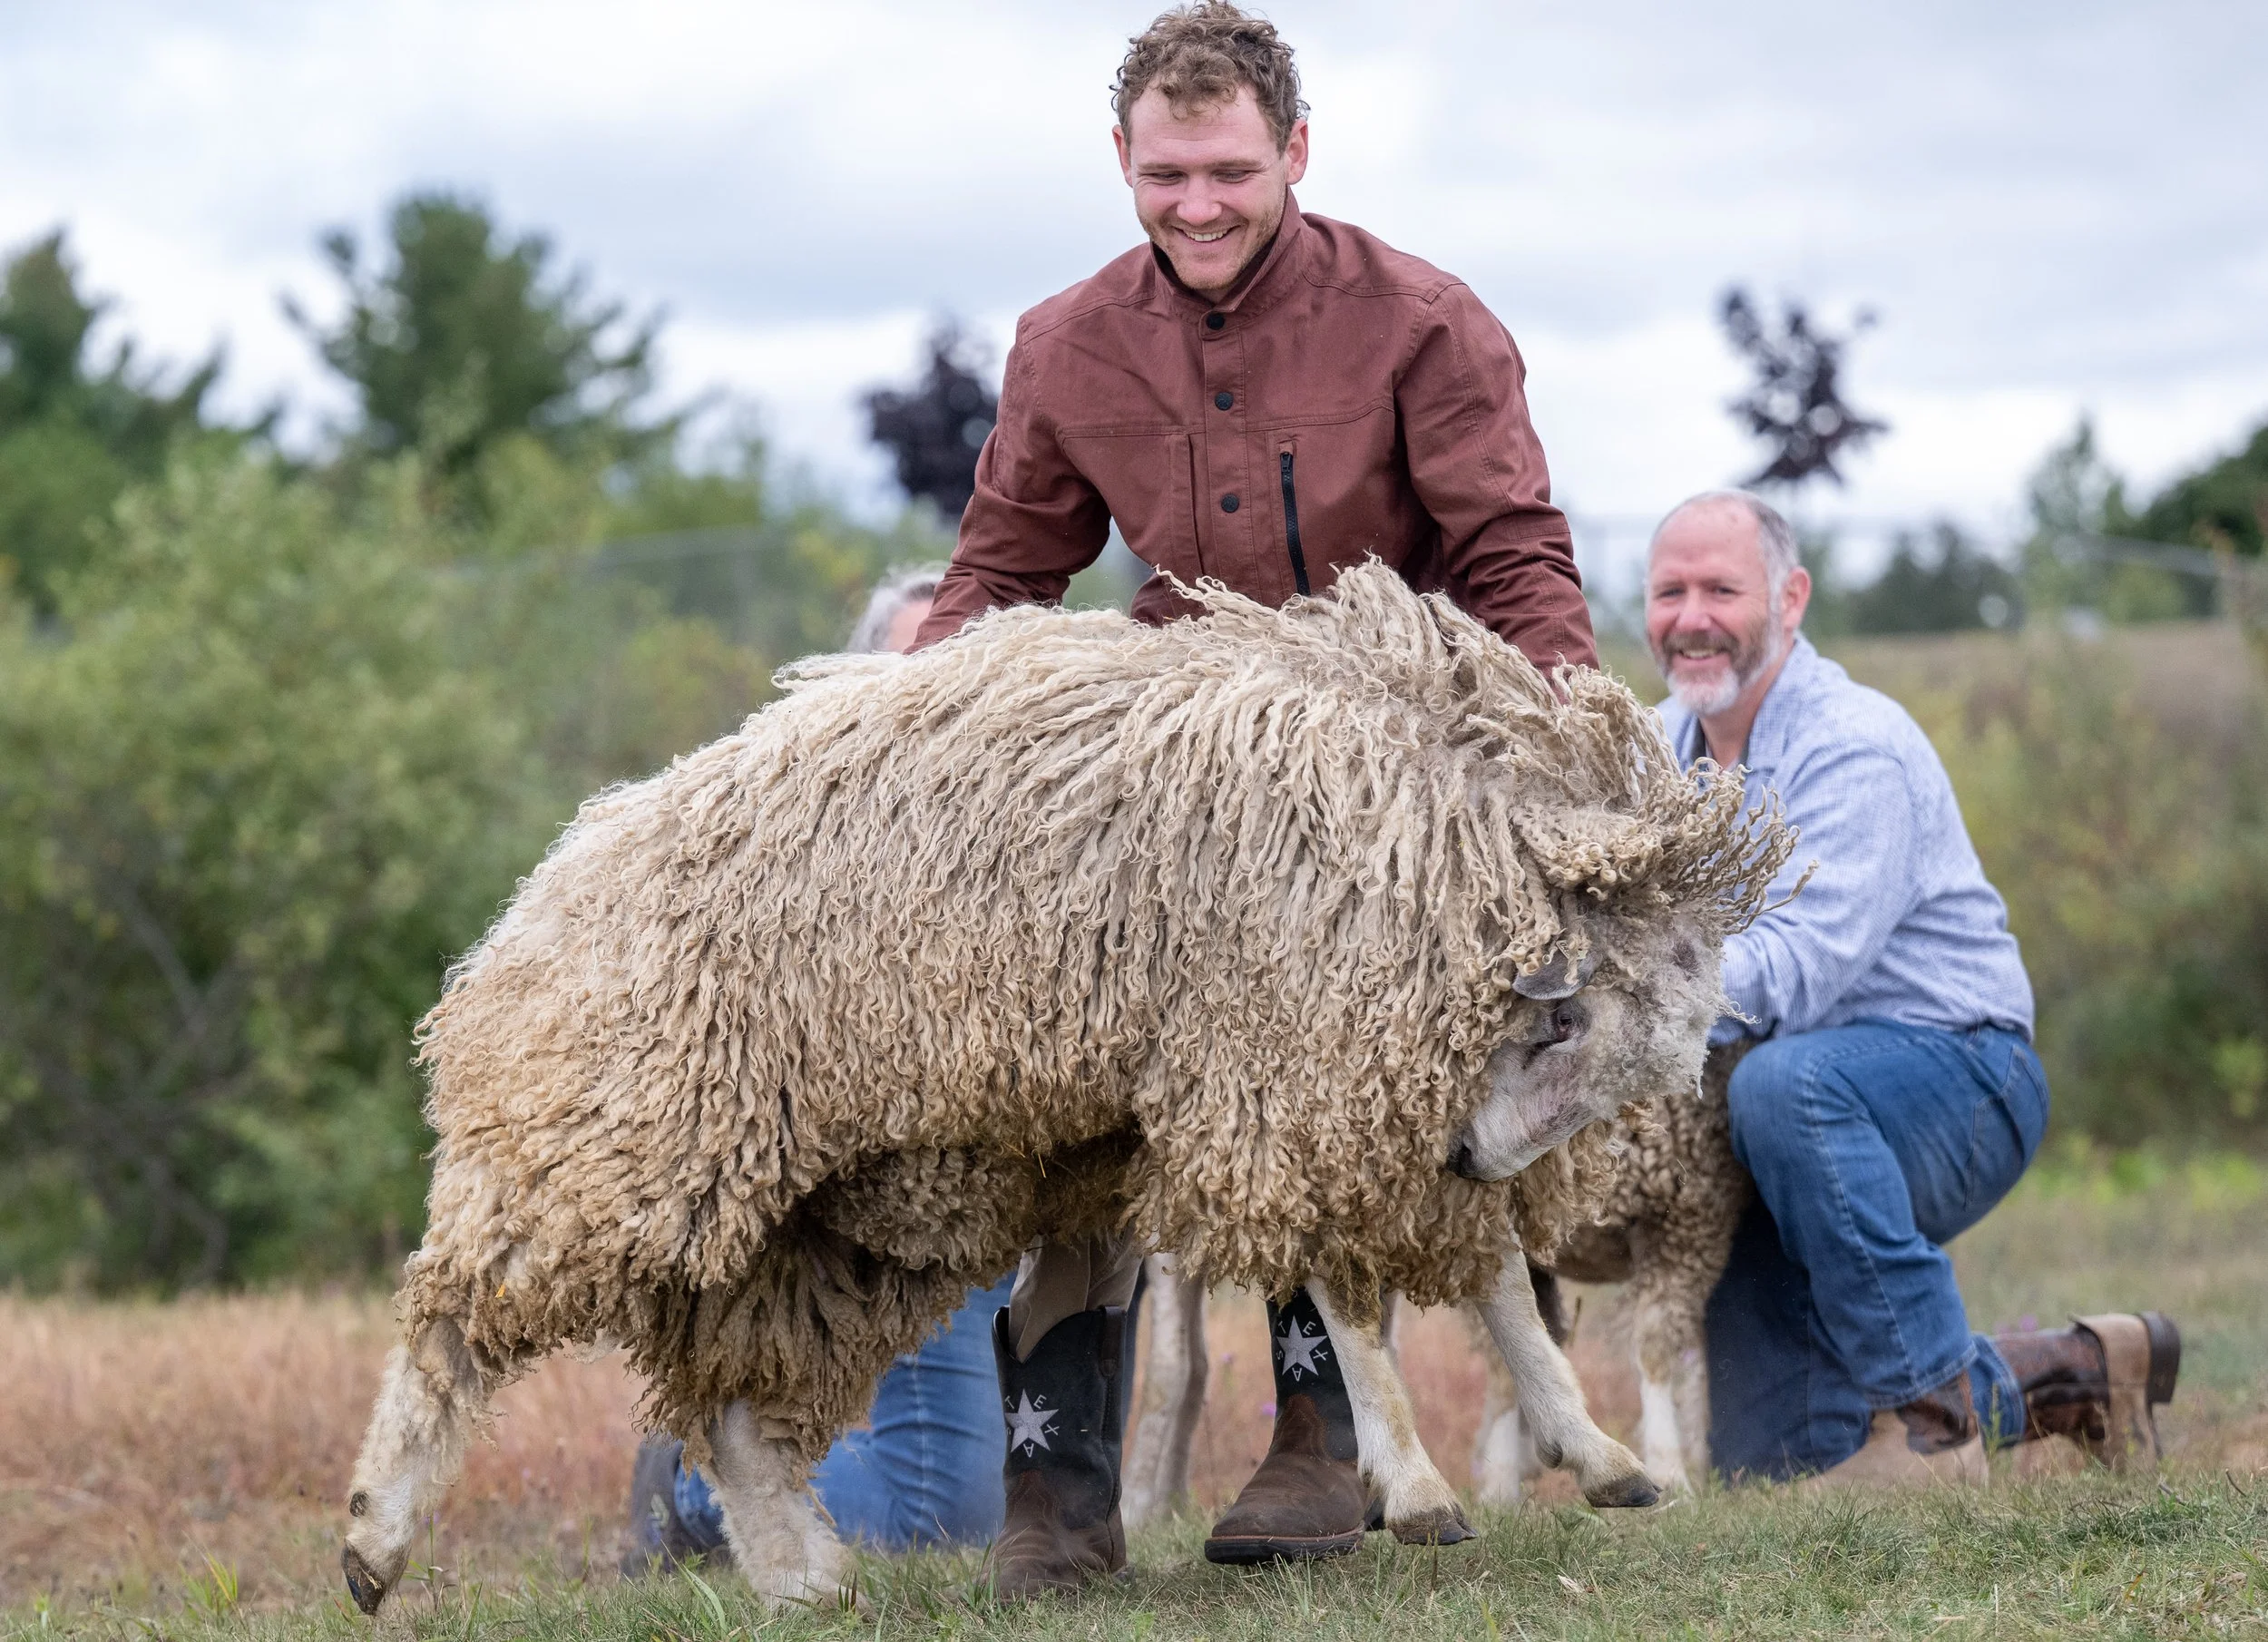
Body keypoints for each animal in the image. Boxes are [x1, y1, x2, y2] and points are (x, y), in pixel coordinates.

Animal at [340, 564, 1791, 1614]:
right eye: (1566, 1023)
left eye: (1615, 1057)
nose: (1482, 1157)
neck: (1425, 832)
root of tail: (524, 915)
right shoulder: (1283, 1060)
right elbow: (1351, 1296)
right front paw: (1419, 1480)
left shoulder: (1380, 1089)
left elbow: (1488, 1276)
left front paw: (1595, 1454)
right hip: (611, 1145)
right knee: (449, 1322)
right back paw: (374, 1537)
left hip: (818, 1215)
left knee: (737, 1404)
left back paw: (804, 1577)